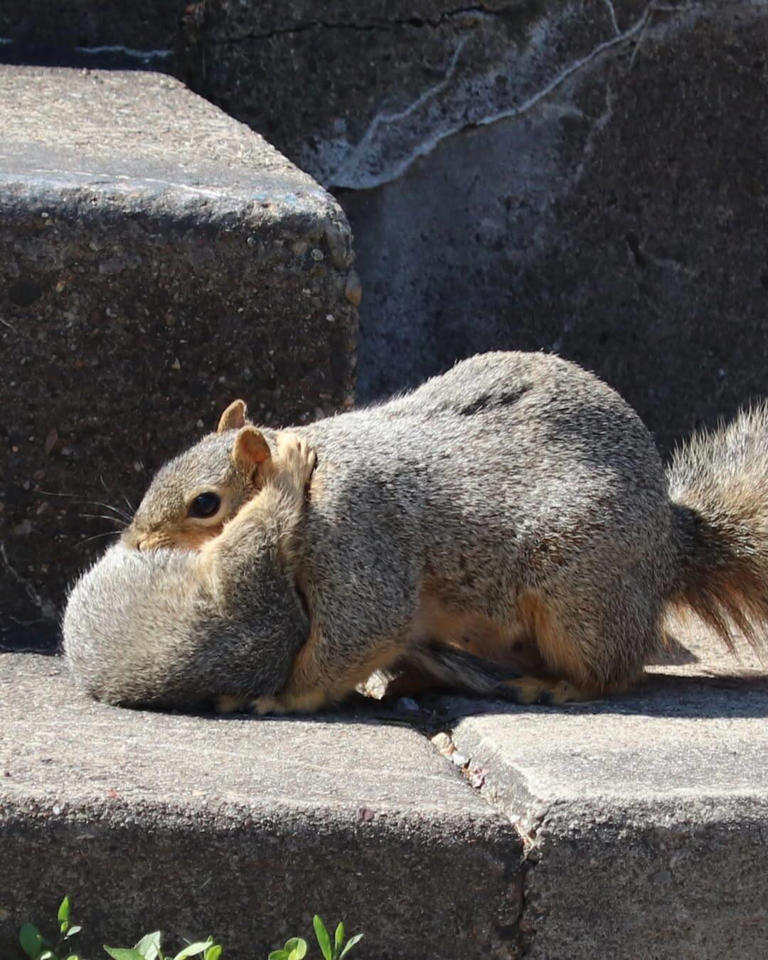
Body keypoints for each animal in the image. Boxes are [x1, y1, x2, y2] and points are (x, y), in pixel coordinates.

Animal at [64, 350, 768, 713]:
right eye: (164, 466)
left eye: (205, 504)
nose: (134, 547)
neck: (310, 488)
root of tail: (669, 546)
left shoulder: (354, 536)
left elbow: (355, 633)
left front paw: (281, 699)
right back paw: (419, 679)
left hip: (580, 599)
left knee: (618, 671)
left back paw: (558, 685)